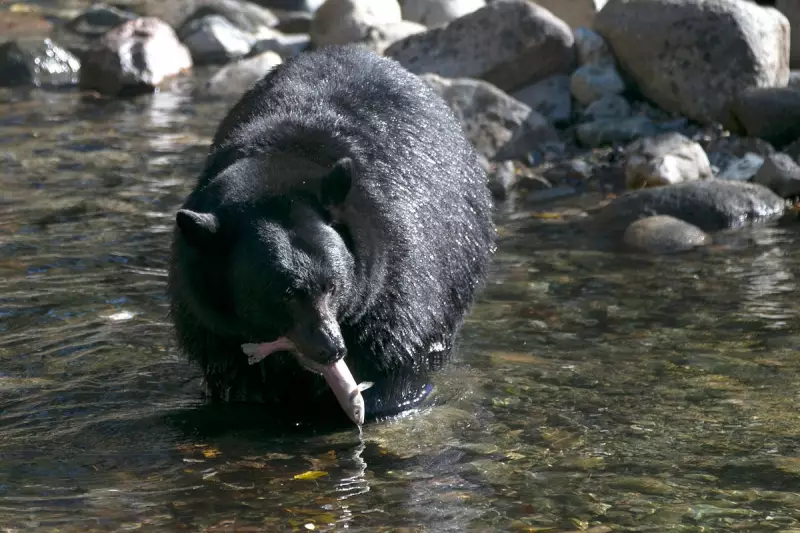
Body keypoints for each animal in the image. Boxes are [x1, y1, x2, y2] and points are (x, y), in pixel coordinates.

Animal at [167, 45, 495, 426]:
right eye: (284, 294)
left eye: (333, 286)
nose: (331, 349)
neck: (277, 167)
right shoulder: (209, 318)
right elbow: (234, 374)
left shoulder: (397, 274)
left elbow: (396, 351)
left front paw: (380, 400)